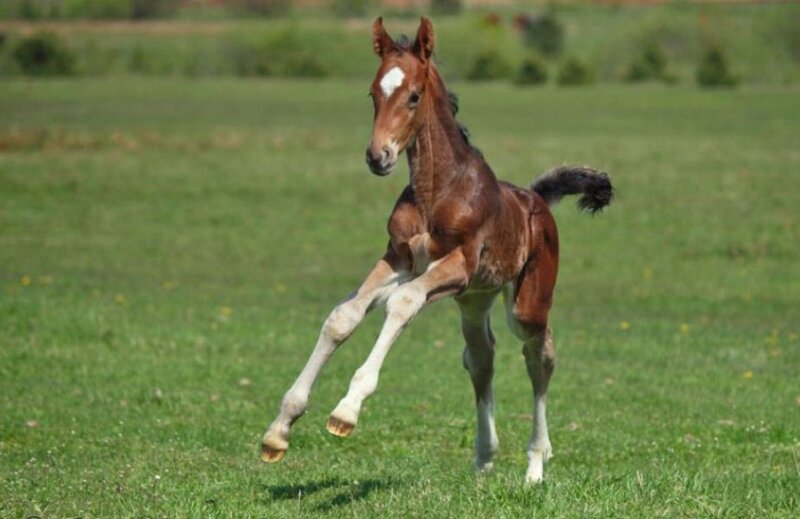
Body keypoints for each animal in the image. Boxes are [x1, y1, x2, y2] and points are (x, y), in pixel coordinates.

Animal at [261, 16, 613, 484]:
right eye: (372, 93)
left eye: (413, 95)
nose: (378, 156)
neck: (438, 190)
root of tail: (537, 197)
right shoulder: (399, 258)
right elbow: (343, 316)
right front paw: (279, 431)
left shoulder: (456, 266)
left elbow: (403, 302)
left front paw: (346, 411)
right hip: (475, 300)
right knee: (481, 357)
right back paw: (483, 458)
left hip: (524, 302)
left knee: (540, 355)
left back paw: (536, 464)